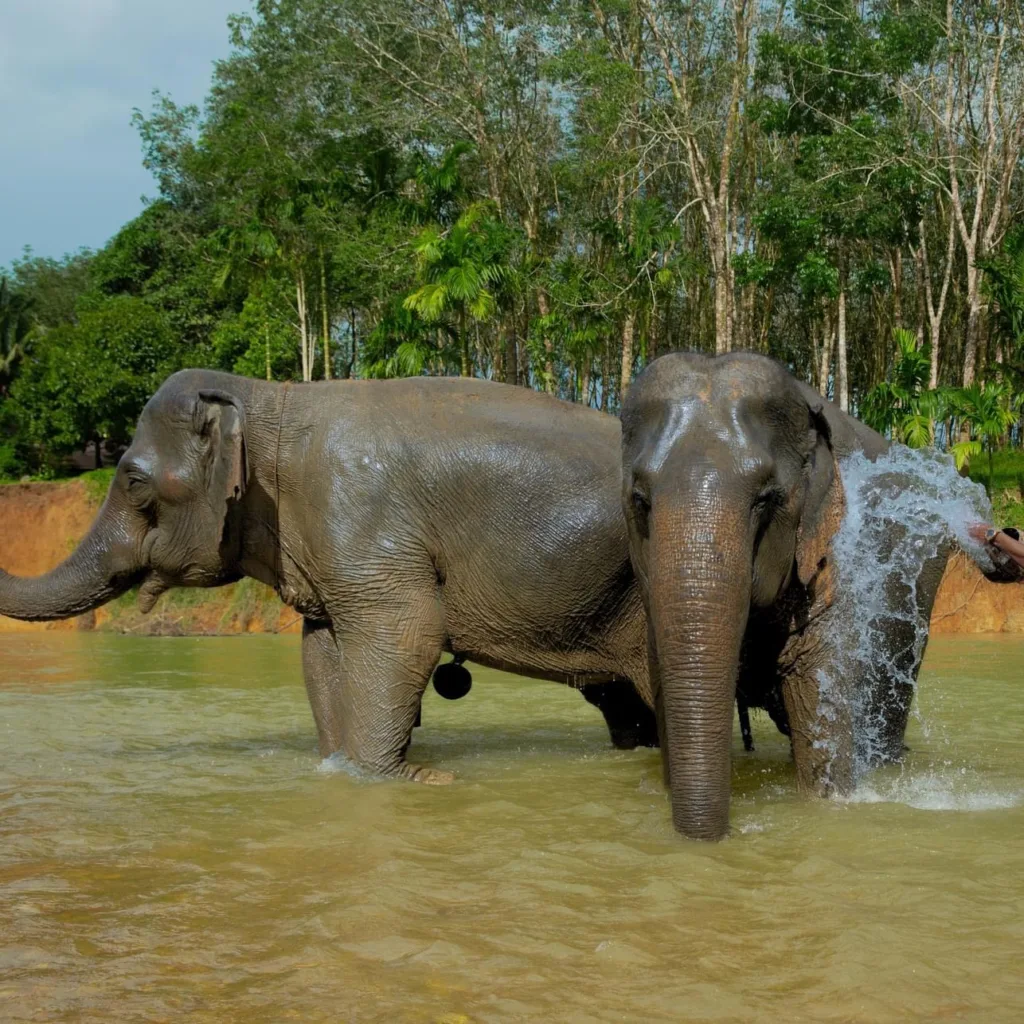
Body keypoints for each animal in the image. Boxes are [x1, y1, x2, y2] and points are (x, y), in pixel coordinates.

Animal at [0, 372, 655, 778]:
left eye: (135, 481)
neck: (271, 399)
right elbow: (321, 652)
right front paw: (342, 770)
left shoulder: (356, 511)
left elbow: (405, 632)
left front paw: (398, 777)